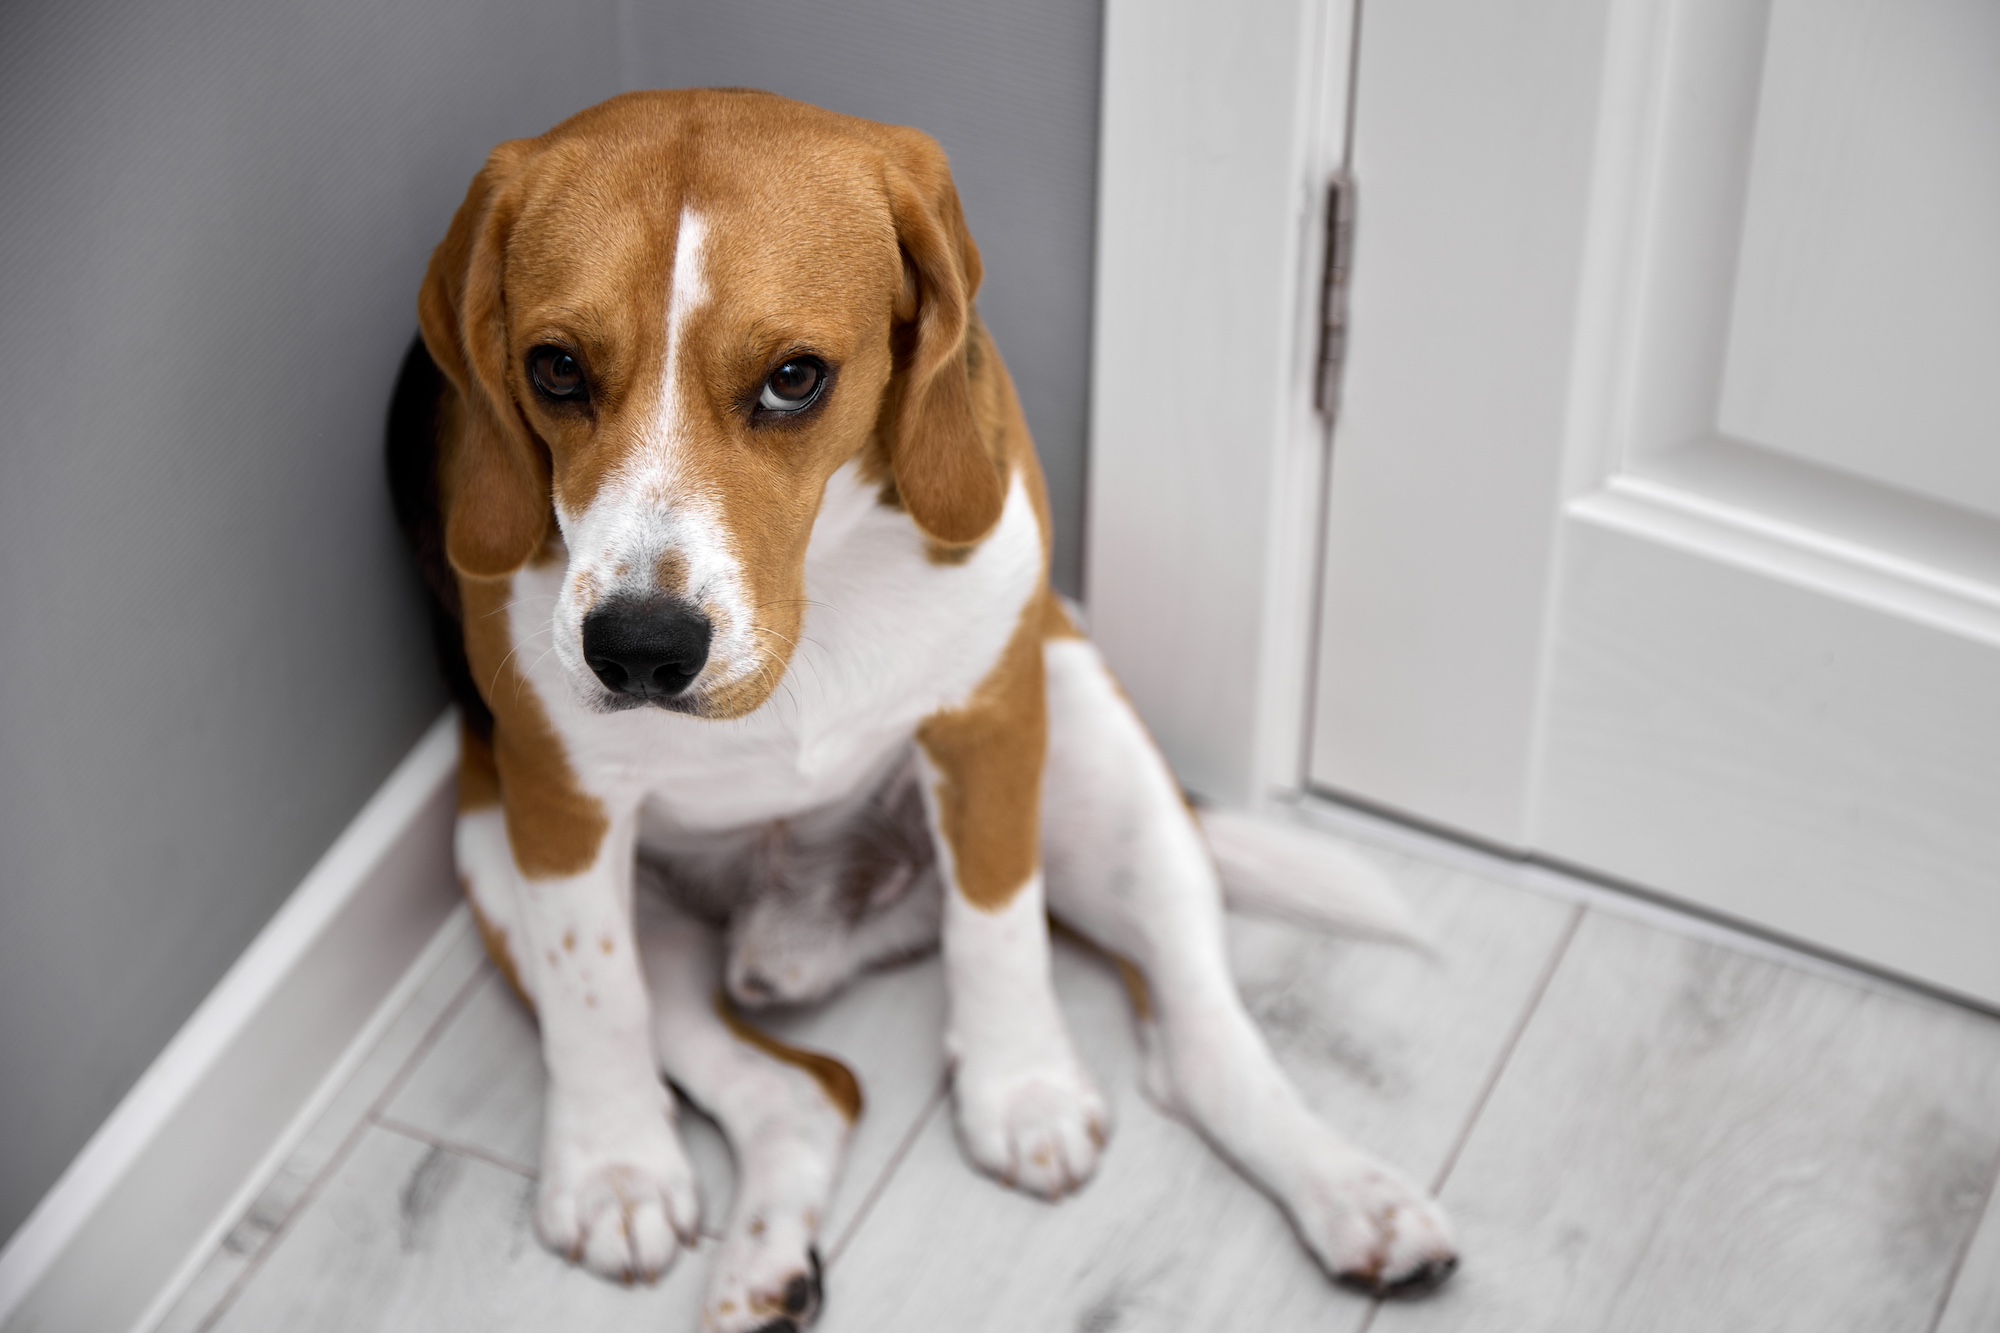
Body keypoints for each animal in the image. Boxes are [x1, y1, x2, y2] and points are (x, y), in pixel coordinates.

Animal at [386, 88, 1456, 1320]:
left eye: (795, 377)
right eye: (555, 368)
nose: (639, 651)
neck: (822, 585)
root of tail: (817, 931)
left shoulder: (991, 722)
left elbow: (997, 925)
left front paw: (1021, 1086)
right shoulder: (559, 808)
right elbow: (592, 997)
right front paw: (612, 1169)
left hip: (1097, 751)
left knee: (1200, 1044)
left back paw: (1354, 1196)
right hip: (489, 848)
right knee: (801, 1092)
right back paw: (759, 1266)